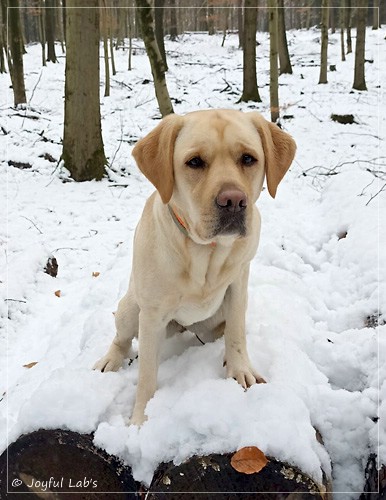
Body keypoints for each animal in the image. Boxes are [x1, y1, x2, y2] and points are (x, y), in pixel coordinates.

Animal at [93, 109, 296, 426]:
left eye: (248, 158)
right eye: (195, 162)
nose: (233, 201)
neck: (206, 253)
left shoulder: (238, 285)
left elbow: (237, 335)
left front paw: (240, 370)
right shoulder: (151, 315)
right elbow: (147, 376)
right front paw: (140, 421)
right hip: (130, 307)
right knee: (121, 338)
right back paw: (111, 360)